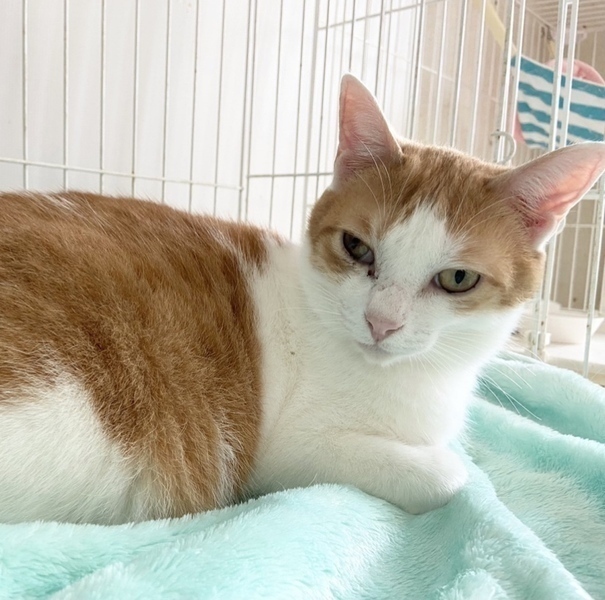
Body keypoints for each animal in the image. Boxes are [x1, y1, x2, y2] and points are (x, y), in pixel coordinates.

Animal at [0, 74, 604, 524]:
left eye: (457, 279)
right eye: (357, 247)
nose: (380, 322)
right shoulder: (286, 450)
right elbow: (452, 477)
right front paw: (443, 470)